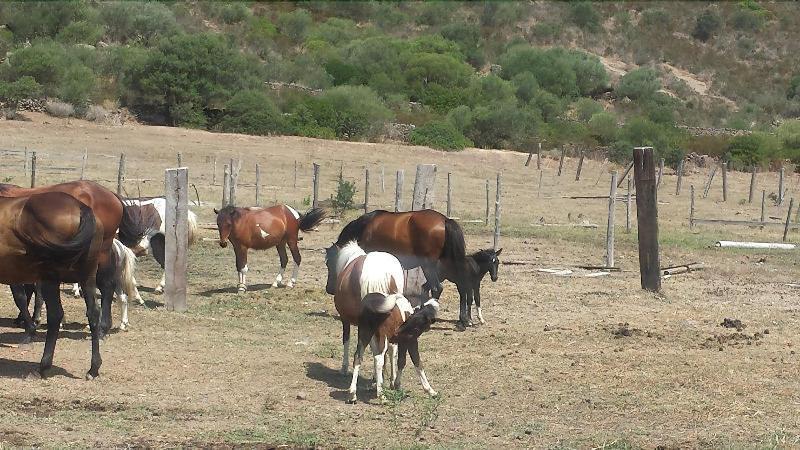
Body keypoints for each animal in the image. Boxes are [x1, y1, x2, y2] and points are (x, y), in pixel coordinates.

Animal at [0, 192, 106, 378]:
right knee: (93, 313)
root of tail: (80, 207)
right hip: (87, 277)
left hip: (50, 279)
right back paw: (93, 368)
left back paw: (43, 366)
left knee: (56, 315)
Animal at [324, 241, 438, 402]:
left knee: (370, 355)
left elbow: (347, 341)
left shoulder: (347, 321)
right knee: (381, 354)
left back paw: (366, 390)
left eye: (328, 263)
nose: (329, 288)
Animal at [334, 209, 472, 328]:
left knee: (437, 288)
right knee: (461, 286)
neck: (365, 227)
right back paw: (463, 320)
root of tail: (445, 220)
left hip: (428, 265)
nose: (331, 289)